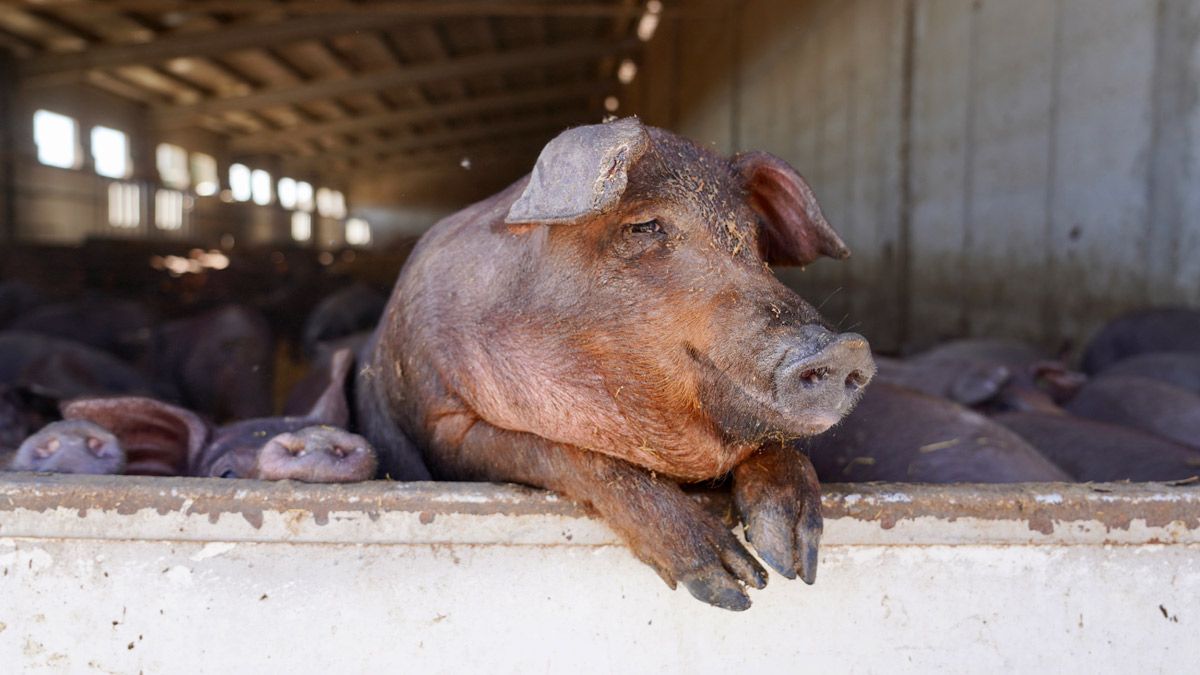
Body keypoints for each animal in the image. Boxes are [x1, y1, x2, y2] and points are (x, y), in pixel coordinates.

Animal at [355, 117, 873, 610]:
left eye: (753, 238)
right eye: (644, 226)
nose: (845, 348)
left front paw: (792, 561)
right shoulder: (442, 423)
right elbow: (573, 456)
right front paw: (734, 583)